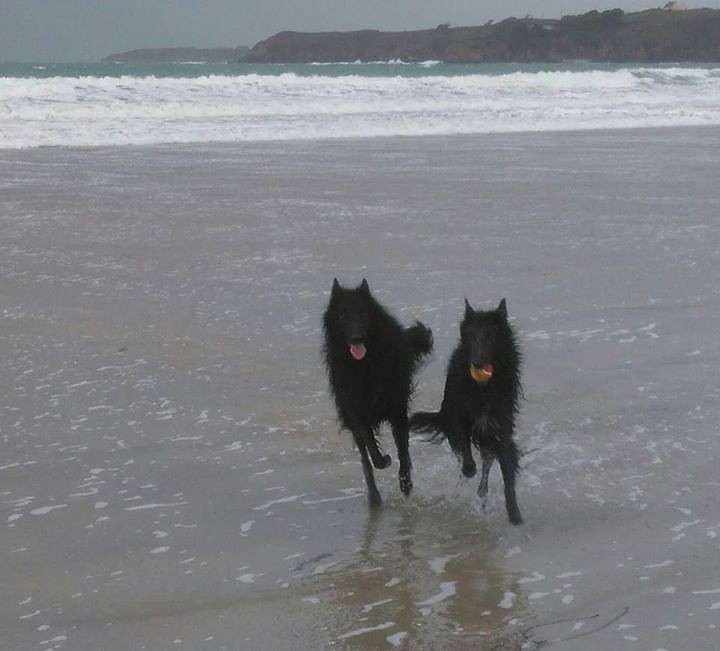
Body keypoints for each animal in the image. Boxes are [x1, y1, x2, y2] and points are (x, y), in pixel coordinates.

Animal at [324, 278, 434, 506]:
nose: (356, 338)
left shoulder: (397, 408)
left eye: (363, 313)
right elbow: (371, 450)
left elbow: (403, 450)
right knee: (365, 459)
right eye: (342, 315)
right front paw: (383, 460)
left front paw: (406, 484)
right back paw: (374, 497)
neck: (364, 365)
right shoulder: (356, 411)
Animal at [410, 300, 524, 524]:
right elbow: (465, 449)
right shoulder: (458, 416)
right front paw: (469, 469)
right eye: (471, 335)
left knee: (487, 463)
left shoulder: (500, 427)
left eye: (490, 335)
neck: (483, 388)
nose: (477, 363)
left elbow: (507, 465)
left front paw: (514, 512)